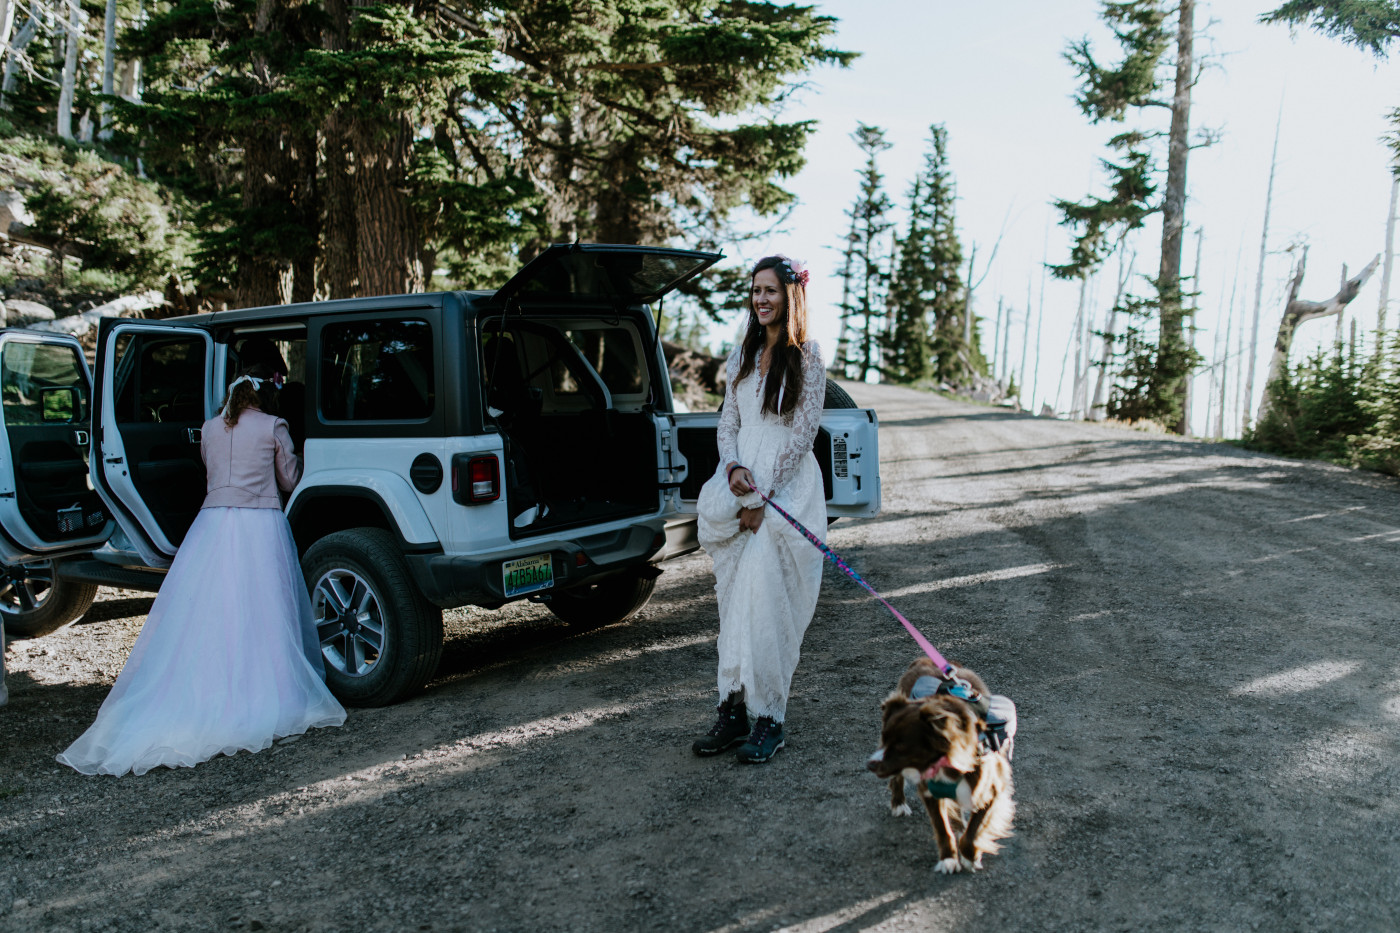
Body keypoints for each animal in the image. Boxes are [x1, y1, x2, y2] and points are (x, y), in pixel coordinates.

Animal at [862, 658, 1019, 868]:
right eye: (885, 738)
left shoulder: (991, 790)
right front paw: (948, 860)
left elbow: (974, 830)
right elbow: (942, 827)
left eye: (902, 747)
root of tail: (923, 660)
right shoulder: (929, 791)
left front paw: (969, 856)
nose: (870, 764)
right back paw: (899, 804)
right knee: (897, 778)